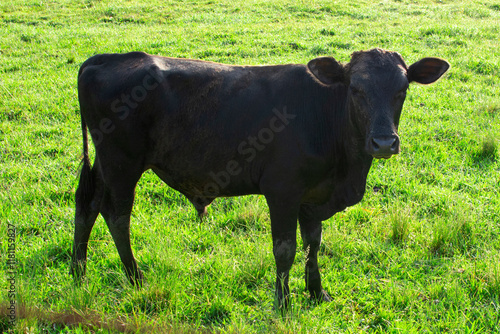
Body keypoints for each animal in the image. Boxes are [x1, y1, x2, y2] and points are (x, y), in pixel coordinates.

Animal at [72, 49, 452, 308]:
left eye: (402, 90)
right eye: (356, 89)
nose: (384, 142)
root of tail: (109, 58)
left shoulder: (313, 197)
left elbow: (314, 242)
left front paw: (317, 291)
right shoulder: (282, 190)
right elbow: (285, 249)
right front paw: (283, 303)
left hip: (105, 164)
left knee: (87, 205)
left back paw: (79, 271)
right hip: (122, 163)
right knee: (117, 216)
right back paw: (135, 278)